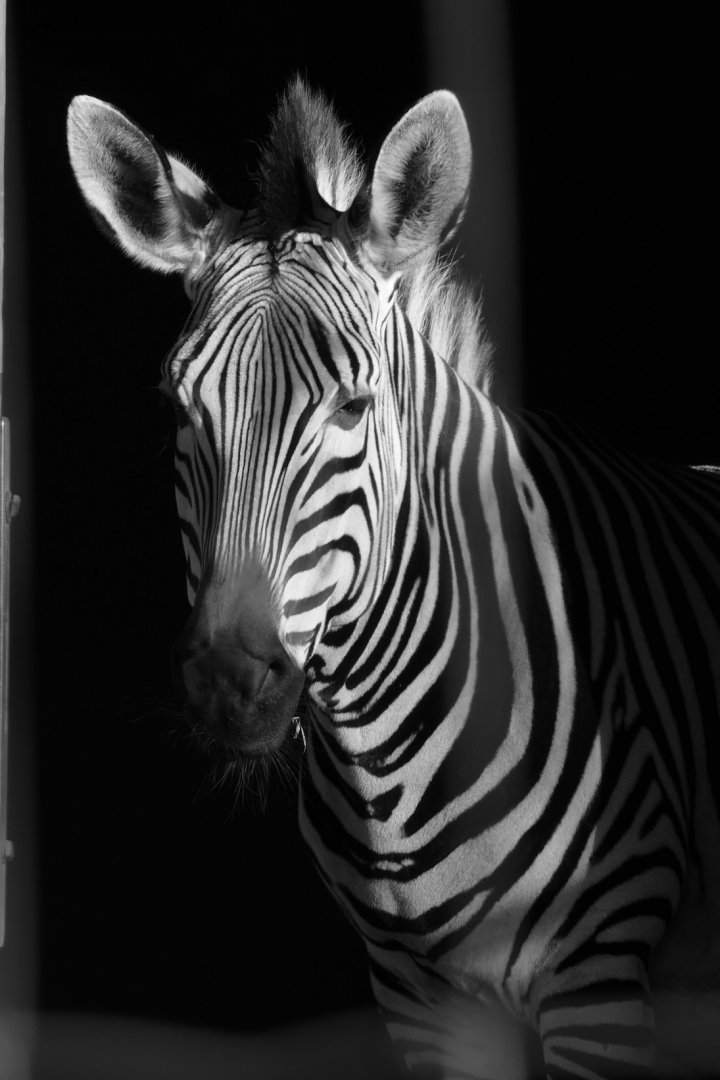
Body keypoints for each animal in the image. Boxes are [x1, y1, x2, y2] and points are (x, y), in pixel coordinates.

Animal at [66, 79, 720, 1079]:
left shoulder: (599, 975)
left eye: (354, 405)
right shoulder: (422, 1001)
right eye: (179, 409)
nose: (227, 682)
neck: (390, 771)